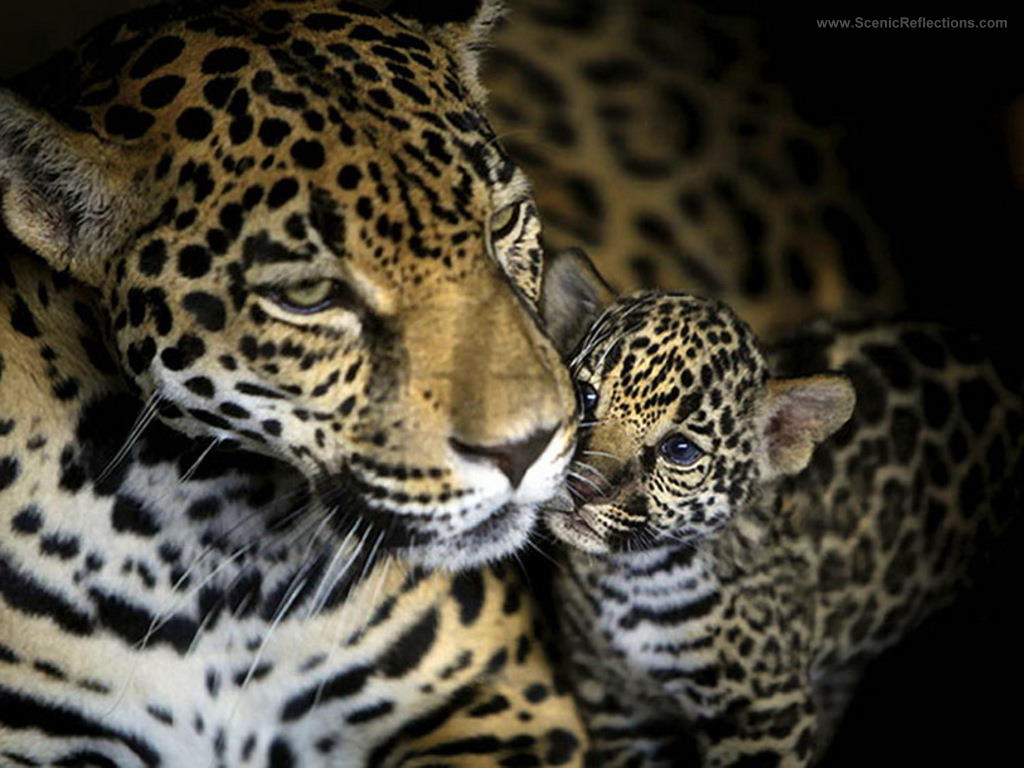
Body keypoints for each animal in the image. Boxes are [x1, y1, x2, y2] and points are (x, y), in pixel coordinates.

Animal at [536, 249, 1023, 767]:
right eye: (586, 396)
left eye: (679, 450)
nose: (581, 487)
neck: (626, 579)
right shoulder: (614, 702)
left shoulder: (763, 715)